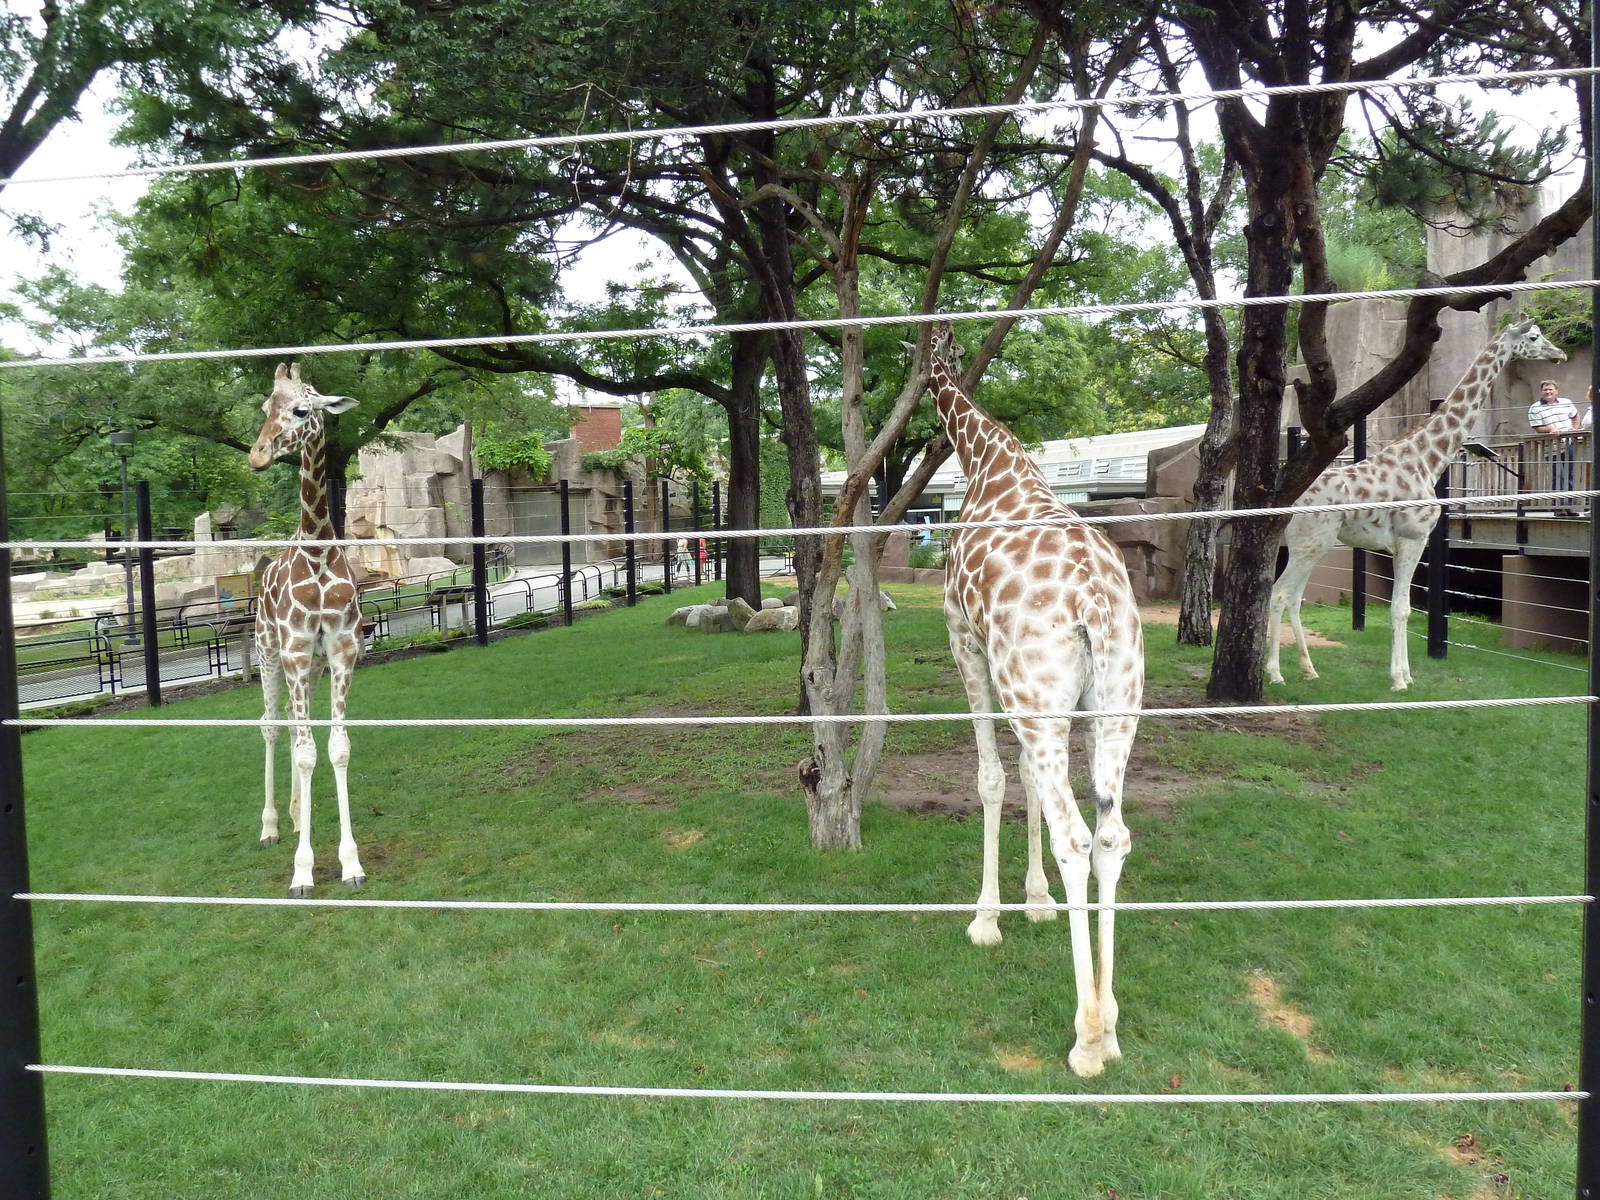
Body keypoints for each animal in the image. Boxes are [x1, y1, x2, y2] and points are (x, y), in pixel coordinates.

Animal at [922, 321, 1145, 1078]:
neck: (988, 457)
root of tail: (1094, 602)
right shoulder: (1051, 699)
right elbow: (1021, 779)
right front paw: (1037, 901)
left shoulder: (966, 643)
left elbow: (992, 778)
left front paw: (989, 918)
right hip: (1116, 705)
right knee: (1110, 834)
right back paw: (1111, 1024)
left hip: (1036, 695)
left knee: (1076, 834)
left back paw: (1086, 1040)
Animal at [1268, 318, 1566, 692]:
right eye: (1534, 337)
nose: (1559, 354)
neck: (1428, 459)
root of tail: (1288, 503)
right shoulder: (1413, 537)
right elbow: (1401, 608)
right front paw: (1399, 680)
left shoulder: (1403, 543)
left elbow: (1404, 606)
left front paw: (1406, 674)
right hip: (1310, 542)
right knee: (1279, 594)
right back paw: (1275, 673)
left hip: (1309, 545)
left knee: (1293, 597)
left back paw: (1309, 670)